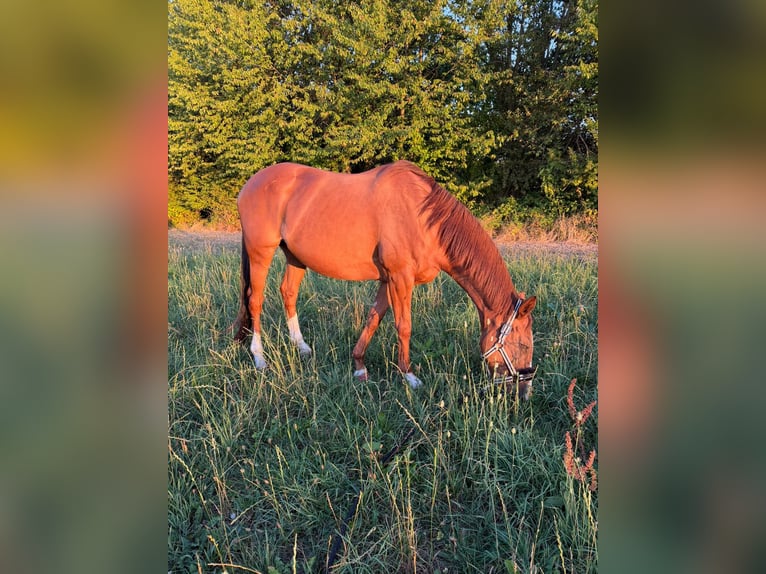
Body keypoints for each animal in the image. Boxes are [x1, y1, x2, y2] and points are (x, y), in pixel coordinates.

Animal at [233, 160, 537, 397]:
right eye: (523, 344)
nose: (524, 391)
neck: (422, 217)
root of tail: (250, 184)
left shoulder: (387, 281)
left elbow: (373, 318)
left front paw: (359, 366)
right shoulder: (400, 278)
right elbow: (404, 326)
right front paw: (409, 376)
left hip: (295, 257)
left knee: (288, 292)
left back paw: (302, 346)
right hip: (261, 253)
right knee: (255, 300)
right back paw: (259, 357)